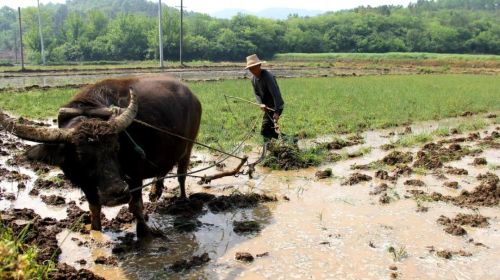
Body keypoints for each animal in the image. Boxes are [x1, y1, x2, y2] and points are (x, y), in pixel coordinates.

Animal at [0, 76, 203, 236]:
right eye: (81, 156)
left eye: (116, 148)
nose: (117, 193)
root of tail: (192, 96)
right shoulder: (86, 183)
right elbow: (94, 208)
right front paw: (95, 230)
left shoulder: (134, 175)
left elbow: (136, 206)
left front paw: (144, 233)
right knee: (163, 169)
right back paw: (155, 192)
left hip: (189, 145)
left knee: (181, 175)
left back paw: (183, 202)